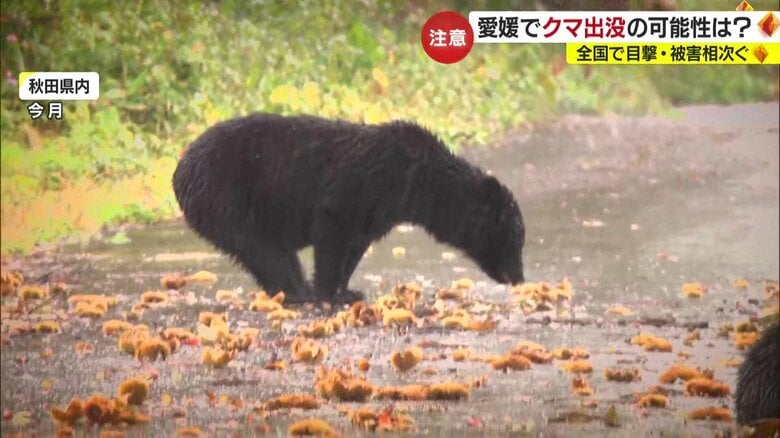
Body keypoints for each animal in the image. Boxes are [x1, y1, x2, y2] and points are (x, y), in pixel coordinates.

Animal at [171, 114, 524, 302]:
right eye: (513, 241)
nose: (519, 279)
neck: (419, 181)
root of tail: (179, 171)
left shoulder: (377, 209)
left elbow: (356, 242)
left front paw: (347, 290)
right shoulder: (360, 184)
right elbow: (332, 230)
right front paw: (329, 292)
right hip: (229, 201)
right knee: (263, 250)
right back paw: (298, 292)